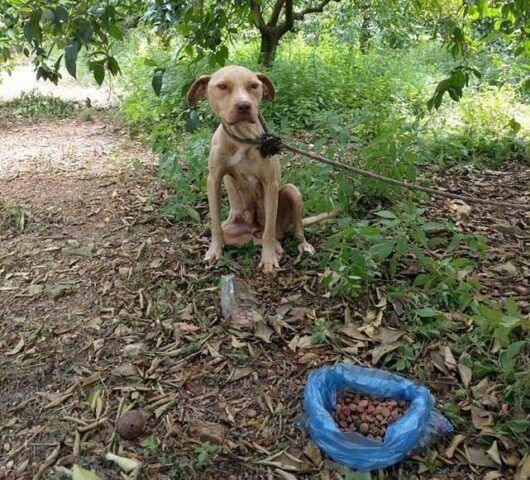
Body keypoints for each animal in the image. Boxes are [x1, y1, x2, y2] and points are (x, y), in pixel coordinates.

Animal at [187, 65, 334, 272]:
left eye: (254, 86)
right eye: (222, 86)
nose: (244, 106)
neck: (242, 138)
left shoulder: (270, 183)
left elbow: (269, 231)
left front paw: (268, 258)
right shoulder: (213, 179)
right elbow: (215, 223)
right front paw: (214, 251)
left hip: (292, 192)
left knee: (292, 230)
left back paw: (299, 246)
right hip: (235, 230)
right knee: (249, 237)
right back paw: (277, 248)